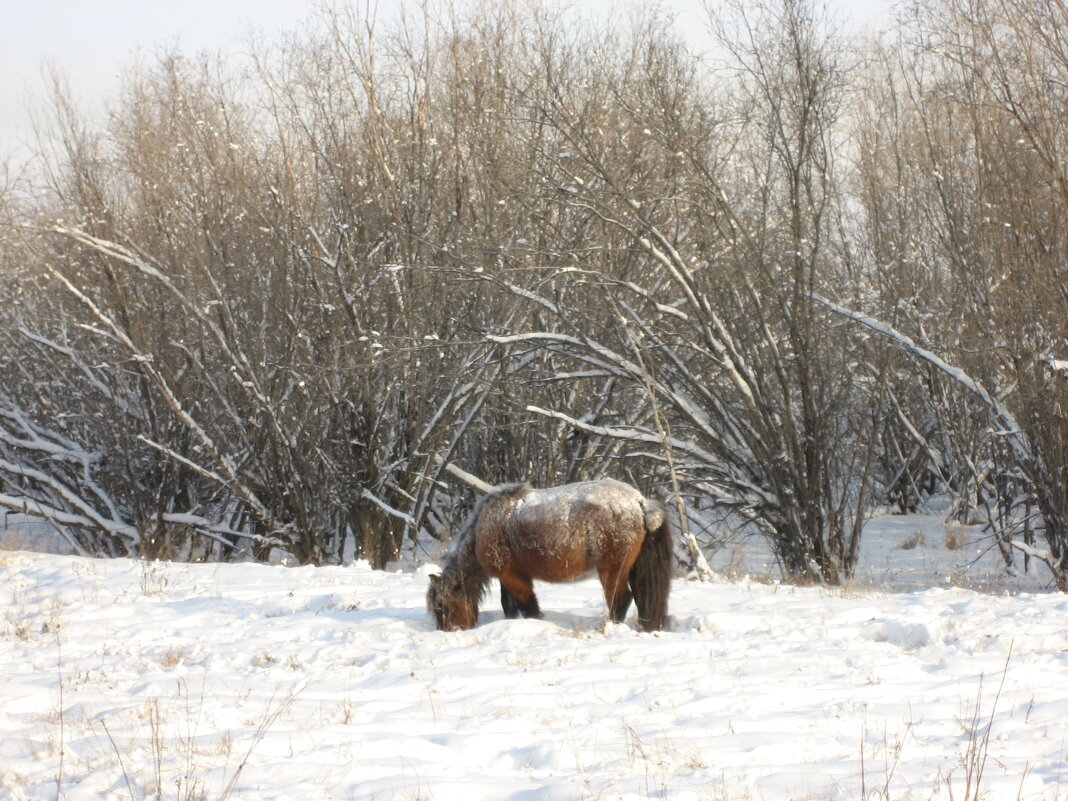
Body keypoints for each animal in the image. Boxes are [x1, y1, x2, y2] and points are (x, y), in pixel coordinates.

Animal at [427, 482, 670, 632]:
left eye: (441, 606)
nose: (447, 631)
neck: (484, 527)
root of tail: (640, 502)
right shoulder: (509, 577)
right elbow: (509, 606)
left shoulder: (514, 578)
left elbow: (528, 606)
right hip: (633, 570)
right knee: (640, 598)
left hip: (612, 571)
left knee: (621, 600)